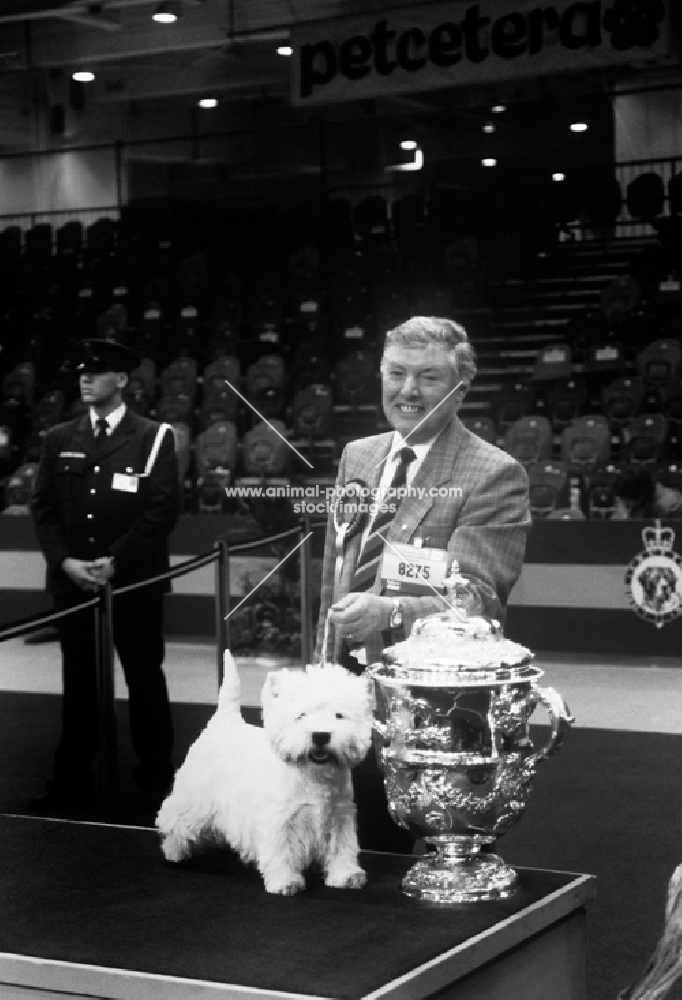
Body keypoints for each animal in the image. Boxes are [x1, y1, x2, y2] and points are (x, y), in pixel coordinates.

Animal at [155, 652, 372, 896]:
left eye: (339, 715)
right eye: (301, 715)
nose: (320, 735)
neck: (314, 776)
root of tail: (223, 721)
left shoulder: (340, 815)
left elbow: (342, 847)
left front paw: (347, 876)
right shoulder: (279, 820)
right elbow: (281, 852)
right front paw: (286, 881)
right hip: (195, 799)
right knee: (174, 821)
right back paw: (174, 851)